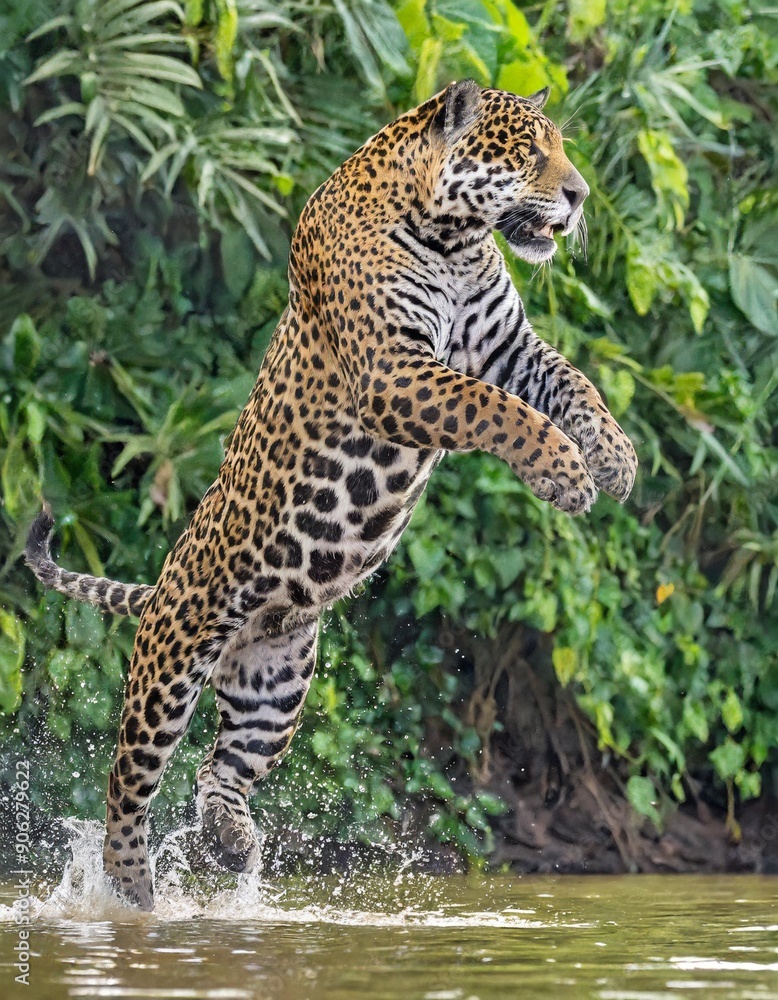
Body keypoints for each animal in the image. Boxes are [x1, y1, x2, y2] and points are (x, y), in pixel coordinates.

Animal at [25, 80, 637, 910]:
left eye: (562, 150)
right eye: (526, 152)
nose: (578, 196)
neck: (452, 239)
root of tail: (160, 584)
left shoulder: (506, 347)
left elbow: (572, 383)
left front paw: (615, 457)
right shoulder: (394, 371)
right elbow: (497, 410)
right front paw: (564, 473)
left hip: (276, 686)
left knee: (217, 770)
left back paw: (233, 839)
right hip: (170, 666)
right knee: (126, 784)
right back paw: (132, 887)